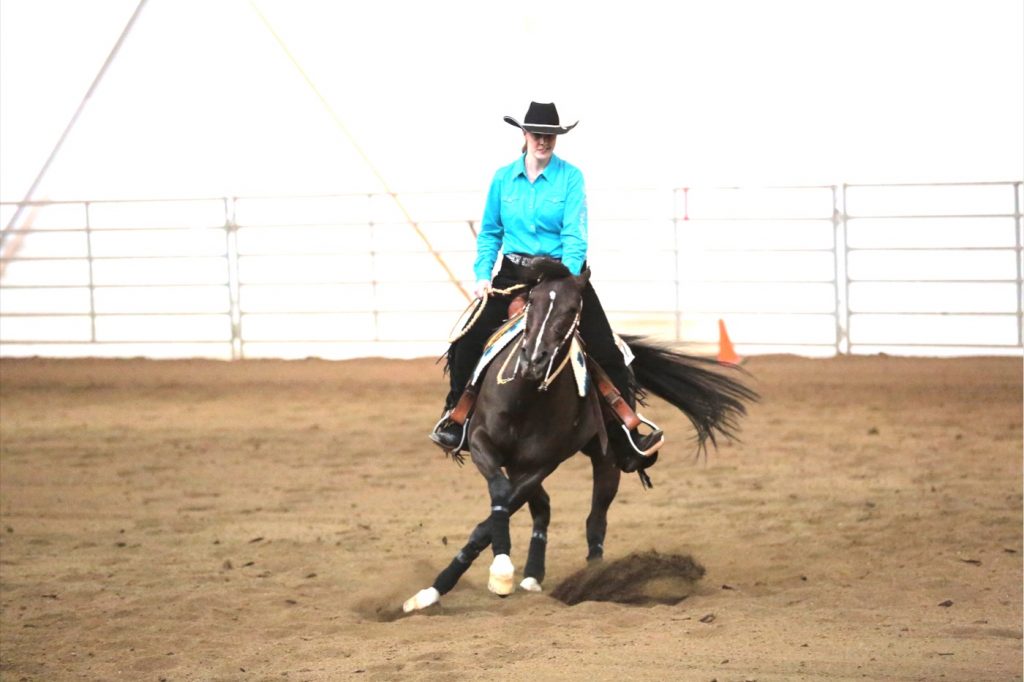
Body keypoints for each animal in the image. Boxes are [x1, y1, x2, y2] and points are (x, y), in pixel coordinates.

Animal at [403, 259, 757, 610]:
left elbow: (491, 521)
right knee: (542, 507)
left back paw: (592, 581)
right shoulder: (482, 445)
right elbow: (499, 498)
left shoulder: (541, 465)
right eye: (533, 302)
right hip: (516, 463)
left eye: (573, 308)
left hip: (605, 460)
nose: (533, 360)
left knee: (594, 521)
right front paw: (440, 588)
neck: (527, 397)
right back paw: (533, 575)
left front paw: (492, 575)